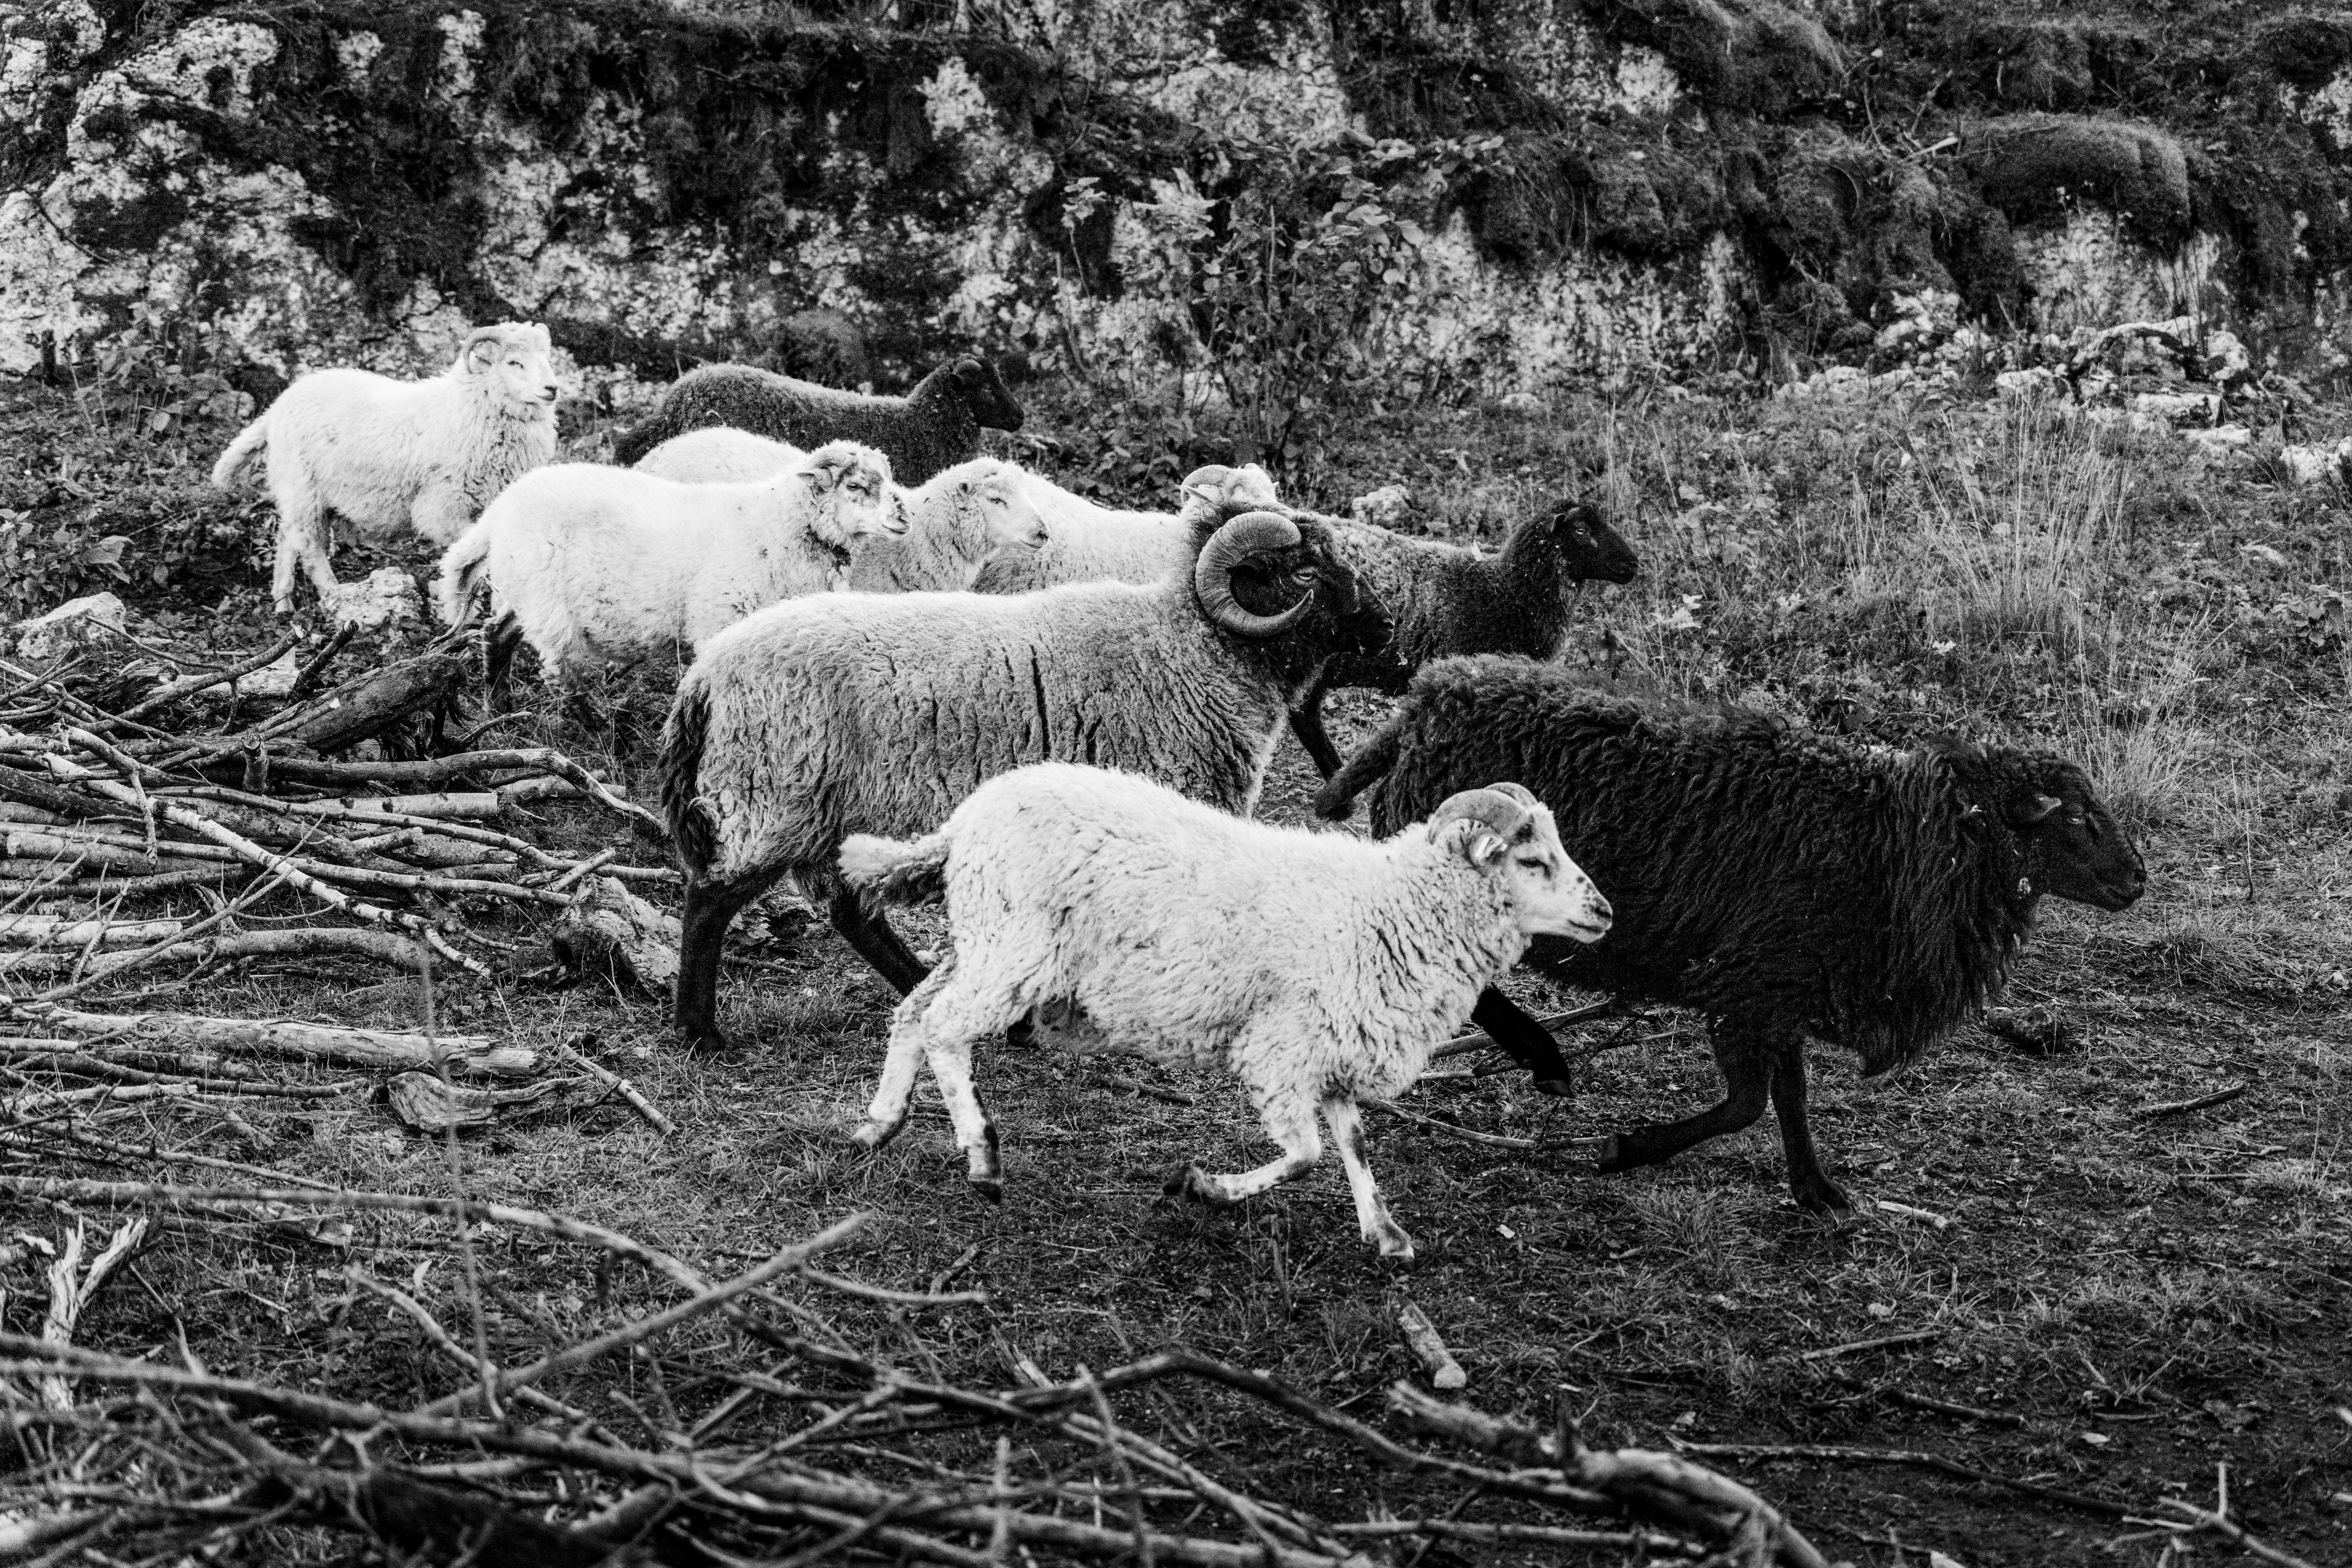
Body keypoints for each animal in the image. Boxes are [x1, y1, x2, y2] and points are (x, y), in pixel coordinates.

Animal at [212, 323, 561, 615]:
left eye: (547, 358)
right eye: (514, 363)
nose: (552, 388)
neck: (470, 406)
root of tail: (277, 407)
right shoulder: (439, 509)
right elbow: (473, 555)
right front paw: (461, 612)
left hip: (301, 494)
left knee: (287, 537)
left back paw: (283, 603)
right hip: (304, 490)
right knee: (310, 548)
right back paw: (337, 595)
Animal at [432, 441, 899, 705]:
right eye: (855, 486)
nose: (904, 516)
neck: (776, 523)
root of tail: (499, 511)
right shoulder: (720, 618)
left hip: (526, 591)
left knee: (497, 633)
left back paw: (499, 704)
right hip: (548, 602)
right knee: (564, 673)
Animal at [659, 483, 1394, 1054]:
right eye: (1303, 573)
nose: (1385, 625)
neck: (1186, 652)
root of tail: (705, 677)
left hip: (828, 815)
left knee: (851, 914)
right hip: (772, 795)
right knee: (711, 899)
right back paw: (701, 1033)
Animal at [837, 762, 1612, 1256]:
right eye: (1532, 861)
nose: (1604, 911)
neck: (1391, 907)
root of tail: (964, 820)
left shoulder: (1330, 1047)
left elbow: (1355, 1142)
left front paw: (1385, 1233)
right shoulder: (1280, 1048)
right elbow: (1304, 1155)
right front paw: (1201, 1186)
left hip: (987, 941)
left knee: (915, 1010)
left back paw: (879, 1122)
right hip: (1015, 949)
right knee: (944, 1028)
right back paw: (981, 1155)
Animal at [1315, 655, 2148, 1212]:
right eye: (2076, 817)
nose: (2137, 879)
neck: (1903, 837)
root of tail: (1423, 702)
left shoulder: (1783, 985)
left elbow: (1790, 1095)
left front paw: (1816, 1188)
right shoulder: (1749, 981)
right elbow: (1747, 1104)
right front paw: (1625, 1149)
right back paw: (1543, 1057)